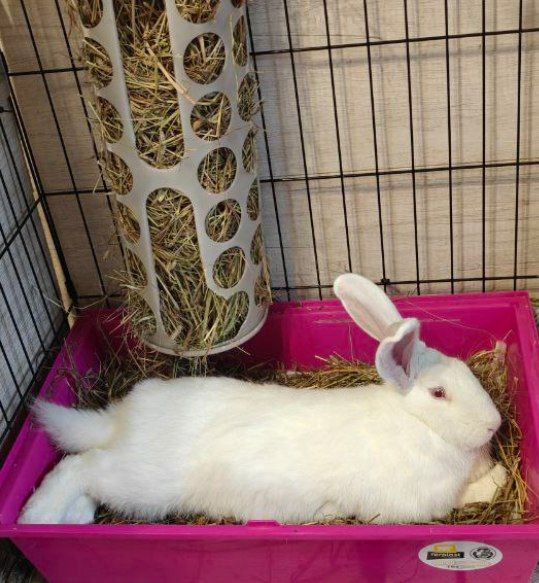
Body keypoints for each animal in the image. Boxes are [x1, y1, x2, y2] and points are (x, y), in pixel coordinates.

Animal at [18, 273, 507, 525]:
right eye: (439, 393)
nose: (494, 424)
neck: (419, 427)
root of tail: (121, 420)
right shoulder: (418, 504)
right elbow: (472, 494)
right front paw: (499, 479)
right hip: (139, 482)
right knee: (78, 467)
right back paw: (37, 518)